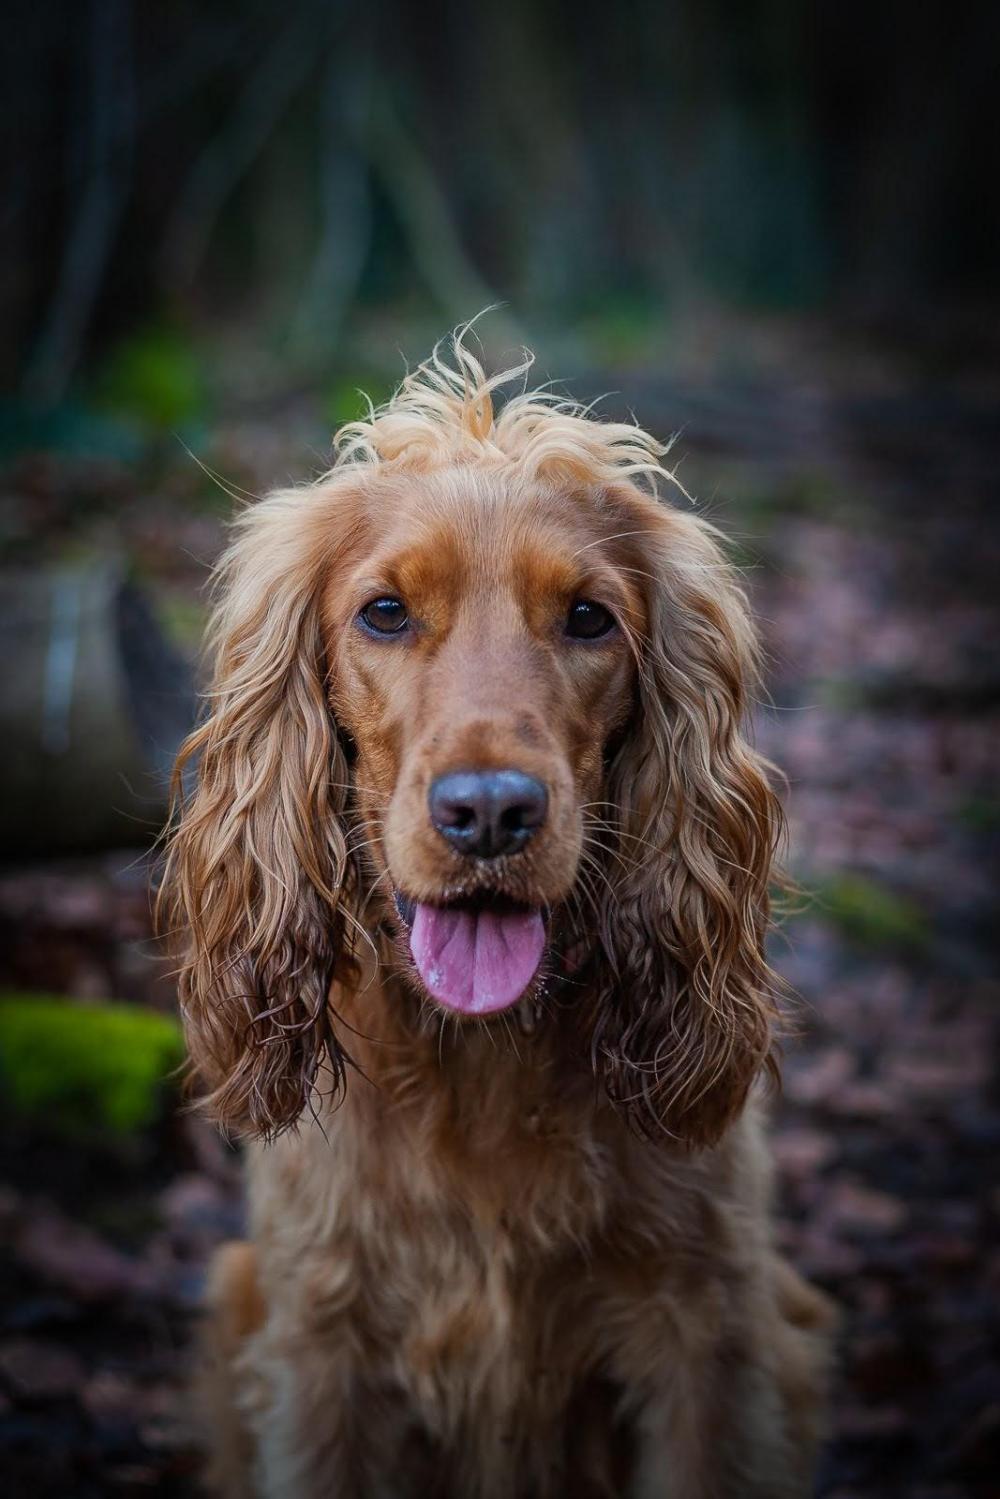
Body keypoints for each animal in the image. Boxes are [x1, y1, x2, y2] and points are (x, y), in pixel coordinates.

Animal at [162, 334, 839, 1493]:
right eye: (385, 611)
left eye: (588, 617)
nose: (489, 813)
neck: (482, 1058)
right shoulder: (320, 1345)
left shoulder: (707, 1333)